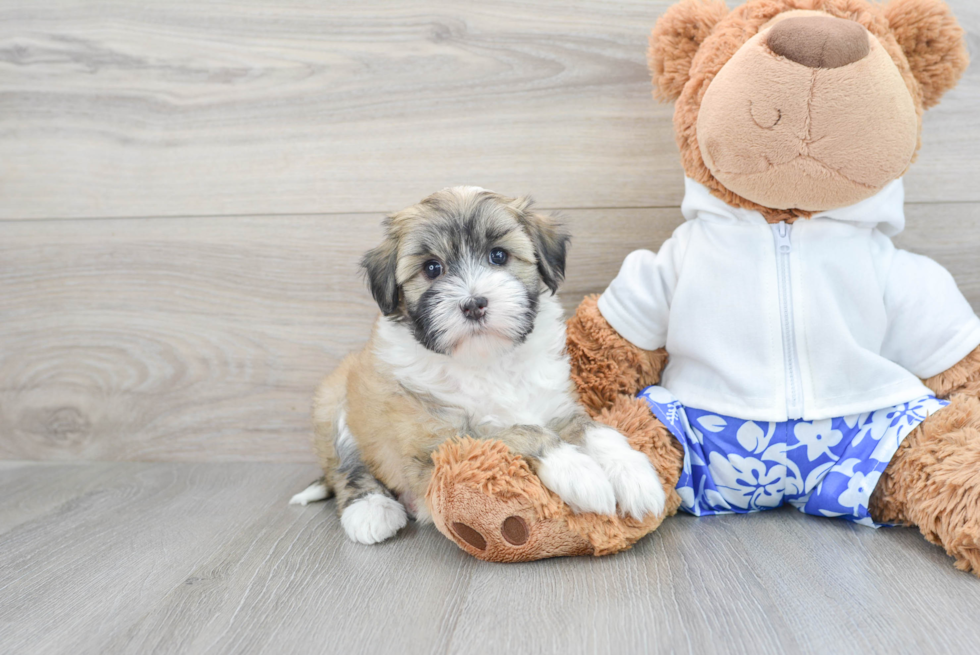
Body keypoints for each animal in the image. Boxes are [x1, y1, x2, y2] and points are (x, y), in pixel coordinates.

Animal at [288, 187, 664, 544]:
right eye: (432, 268)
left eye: (498, 256)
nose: (473, 304)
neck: (486, 360)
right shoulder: (437, 443)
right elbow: (511, 432)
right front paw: (577, 471)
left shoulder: (554, 403)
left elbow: (594, 429)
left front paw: (633, 473)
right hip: (336, 398)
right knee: (348, 467)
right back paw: (371, 510)